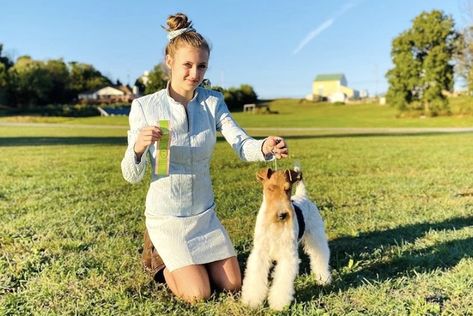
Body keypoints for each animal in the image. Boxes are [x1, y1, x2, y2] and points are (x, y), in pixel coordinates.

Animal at [242, 167, 330, 310]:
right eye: (270, 188)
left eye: (287, 189)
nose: (282, 215)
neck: (275, 225)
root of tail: (302, 196)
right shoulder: (260, 252)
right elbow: (255, 277)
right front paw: (251, 301)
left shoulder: (287, 255)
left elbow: (282, 281)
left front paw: (278, 304)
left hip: (316, 237)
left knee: (320, 257)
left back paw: (324, 279)